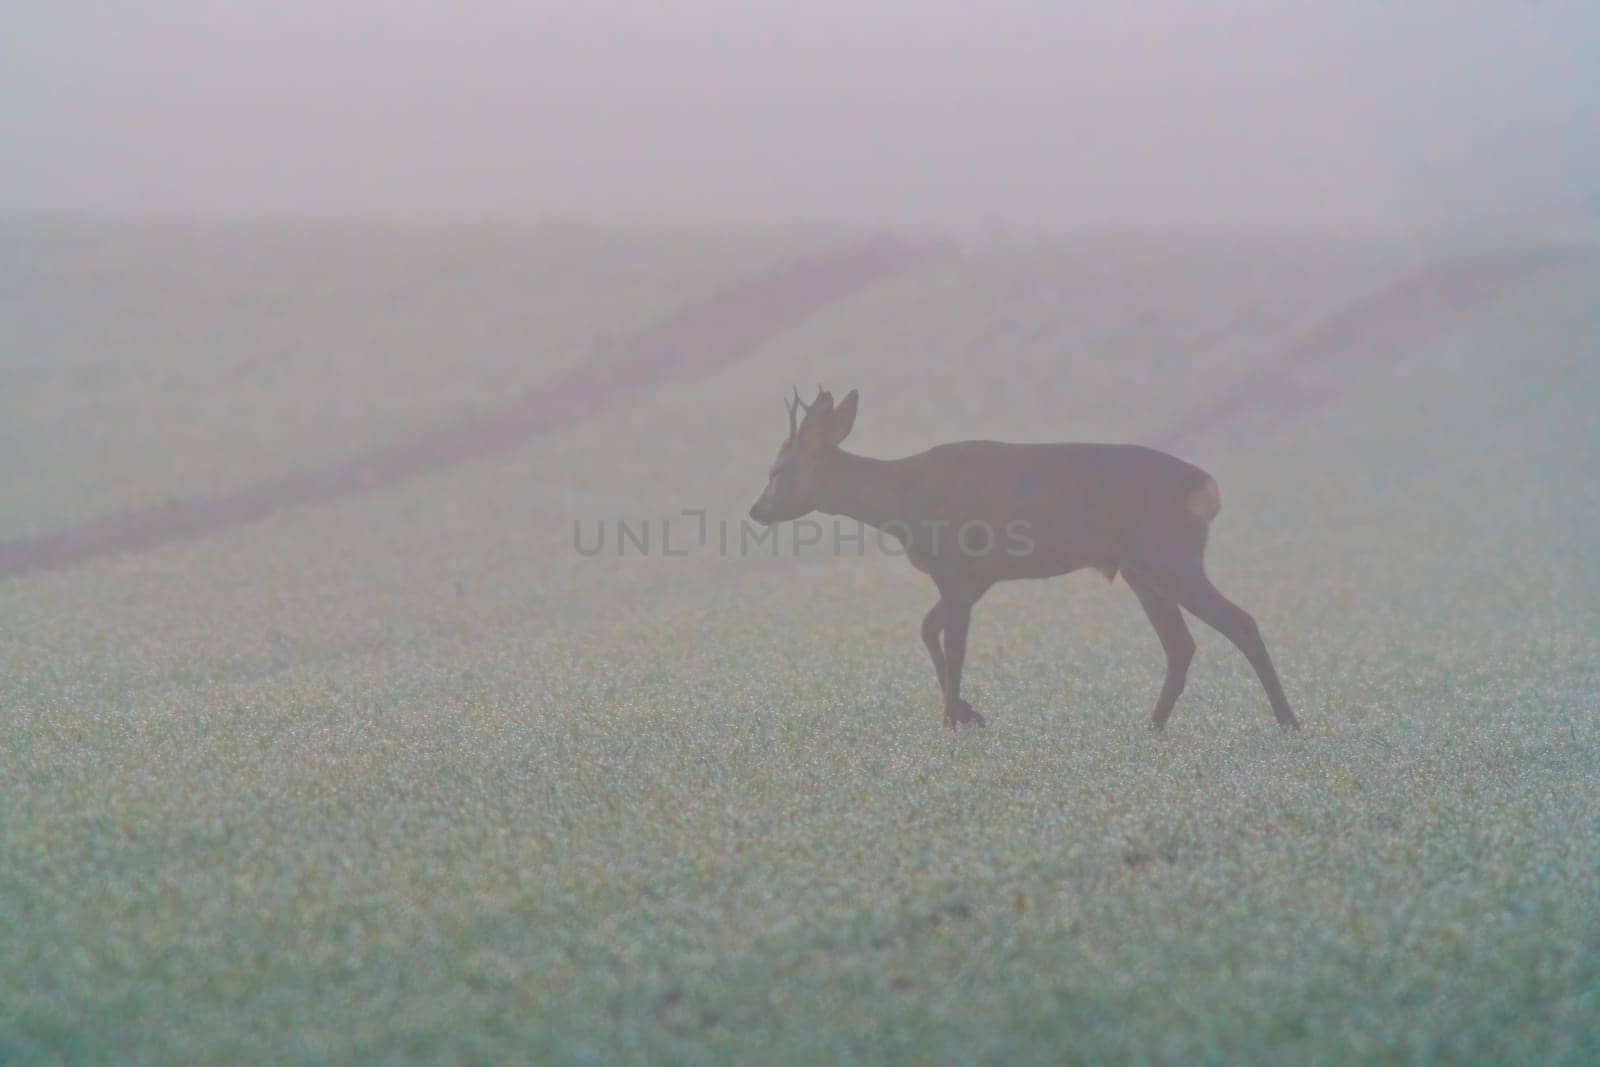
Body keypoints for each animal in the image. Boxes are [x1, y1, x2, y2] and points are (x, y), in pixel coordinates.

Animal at [752, 388, 1299, 729]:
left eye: (778, 470)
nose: (756, 510)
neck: (903, 502)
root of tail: (1207, 486)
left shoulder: (961, 567)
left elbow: (955, 646)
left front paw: (952, 720)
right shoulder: (972, 579)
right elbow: (929, 630)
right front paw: (967, 713)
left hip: (1171, 554)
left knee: (1240, 622)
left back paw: (1288, 722)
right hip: (1142, 569)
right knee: (1181, 644)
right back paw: (1152, 726)